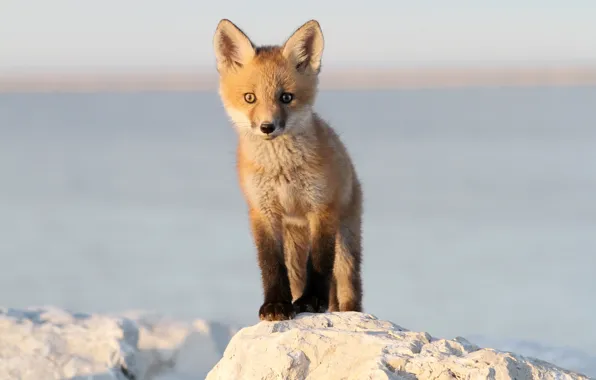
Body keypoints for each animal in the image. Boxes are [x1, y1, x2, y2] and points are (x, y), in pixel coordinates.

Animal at [214, 17, 364, 320]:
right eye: (250, 98)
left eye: (286, 97)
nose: (267, 127)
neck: (281, 170)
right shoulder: (263, 211)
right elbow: (270, 263)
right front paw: (275, 304)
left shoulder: (322, 209)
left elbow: (319, 264)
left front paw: (312, 301)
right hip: (294, 249)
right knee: (295, 275)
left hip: (345, 247)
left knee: (348, 289)